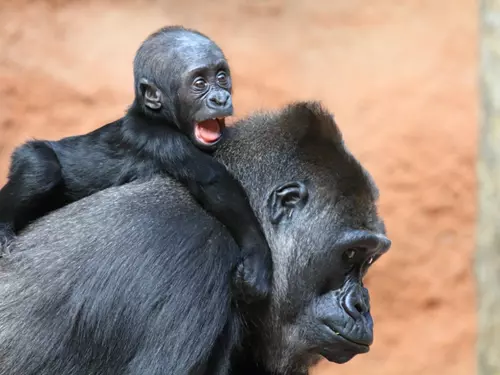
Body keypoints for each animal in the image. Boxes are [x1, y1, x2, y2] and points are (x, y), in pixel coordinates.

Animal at [0, 25, 272, 302]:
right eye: (200, 83)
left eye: (221, 77)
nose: (220, 99)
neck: (156, 116)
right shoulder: (163, 140)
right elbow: (214, 181)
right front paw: (258, 257)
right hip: (26, 154)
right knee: (42, 168)